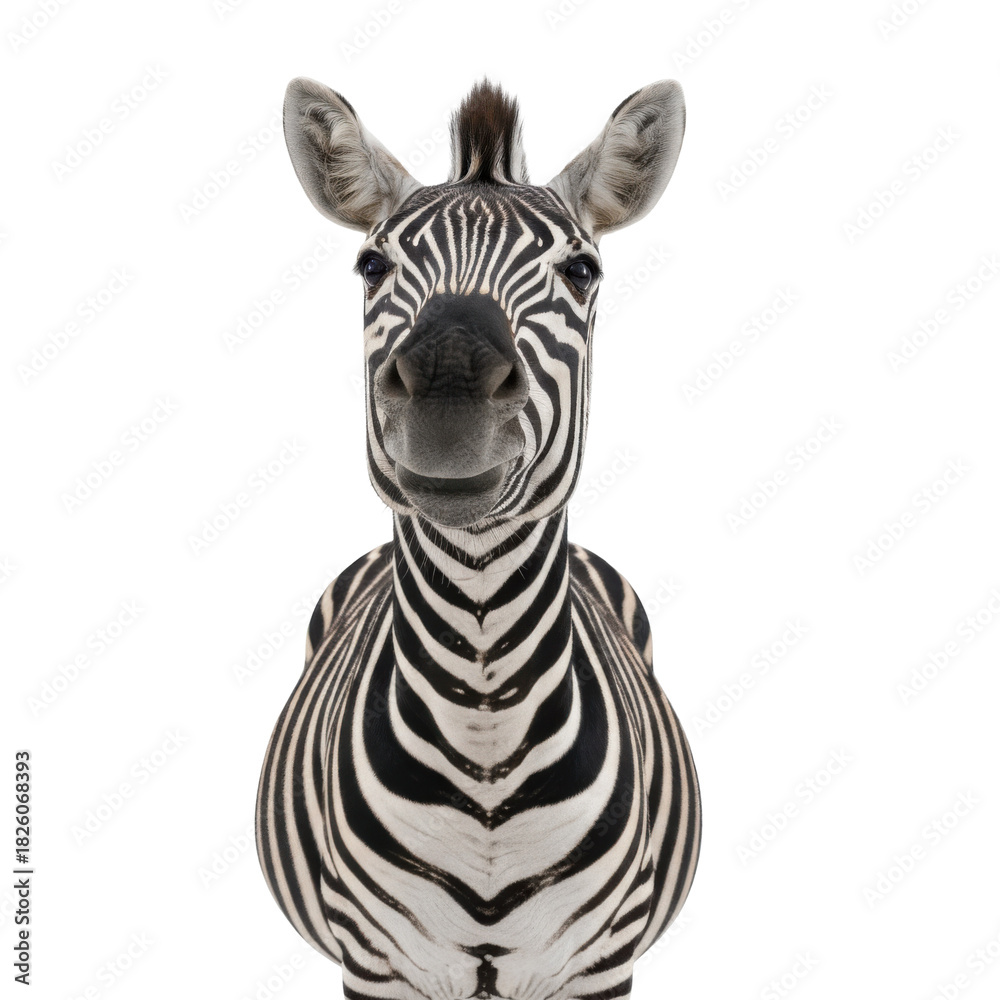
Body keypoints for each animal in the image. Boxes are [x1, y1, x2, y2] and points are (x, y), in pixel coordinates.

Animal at [256, 77, 701, 1000]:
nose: (450, 384)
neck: (484, 720)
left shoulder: (601, 965)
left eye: (580, 270)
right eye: (372, 266)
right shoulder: (375, 965)